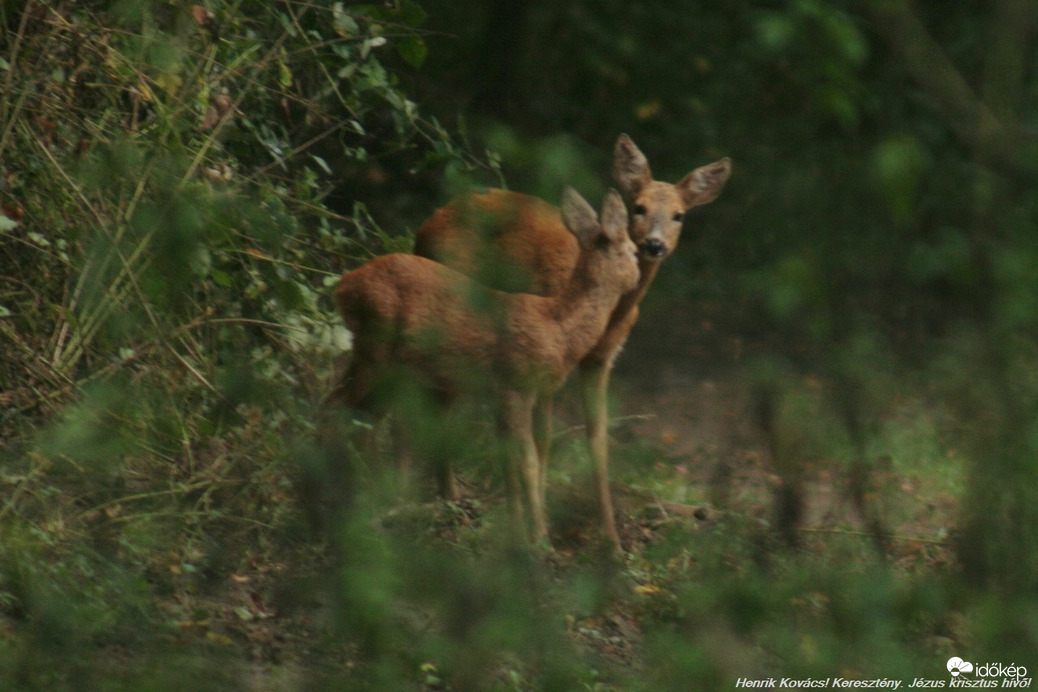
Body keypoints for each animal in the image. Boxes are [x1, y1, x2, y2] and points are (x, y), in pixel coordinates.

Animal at [328, 186, 635, 543]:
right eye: (631, 250)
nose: (639, 277)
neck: (556, 326)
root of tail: (342, 287)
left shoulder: (507, 393)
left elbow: (511, 459)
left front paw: (519, 532)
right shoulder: (515, 386)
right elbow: (527, 460)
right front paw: (539, 539)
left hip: (390, 364)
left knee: (362, 421)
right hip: (374, 352)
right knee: (336, 408)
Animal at [413, 132, 730, 547]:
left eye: (679, 215)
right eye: (639, 207)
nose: (654, 245)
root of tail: (424, 228)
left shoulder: (601, 360)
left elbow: (598, 443)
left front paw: (611, 543)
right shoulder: (548, 357)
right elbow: (543, 439)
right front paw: (540, 532)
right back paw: (448, 501)